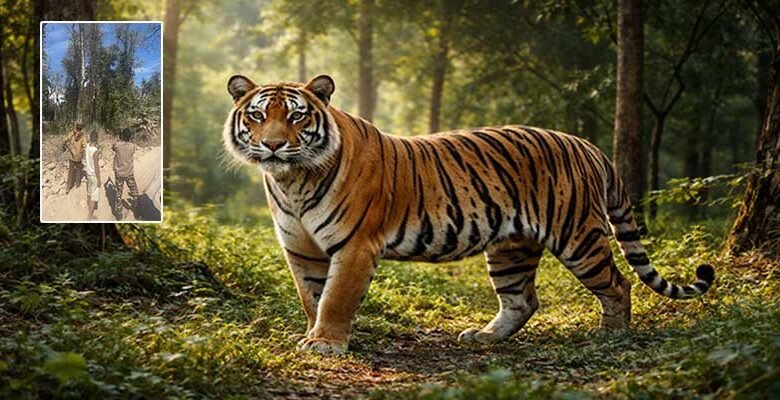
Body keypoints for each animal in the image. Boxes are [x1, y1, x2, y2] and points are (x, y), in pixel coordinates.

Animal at [222, 74, 715, 354]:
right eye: (259, 115)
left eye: (297, 117)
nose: (272, 145)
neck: (292, 180)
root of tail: (586, 144)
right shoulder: (300, 248)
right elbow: (311, 295)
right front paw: (313, 334)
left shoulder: (355, 245)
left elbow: (335, 297)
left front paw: (325, 343)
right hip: (512, 247)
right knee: (522, 299)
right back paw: (485, 337)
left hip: (577, 235)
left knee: (617, 284)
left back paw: (611, 335)